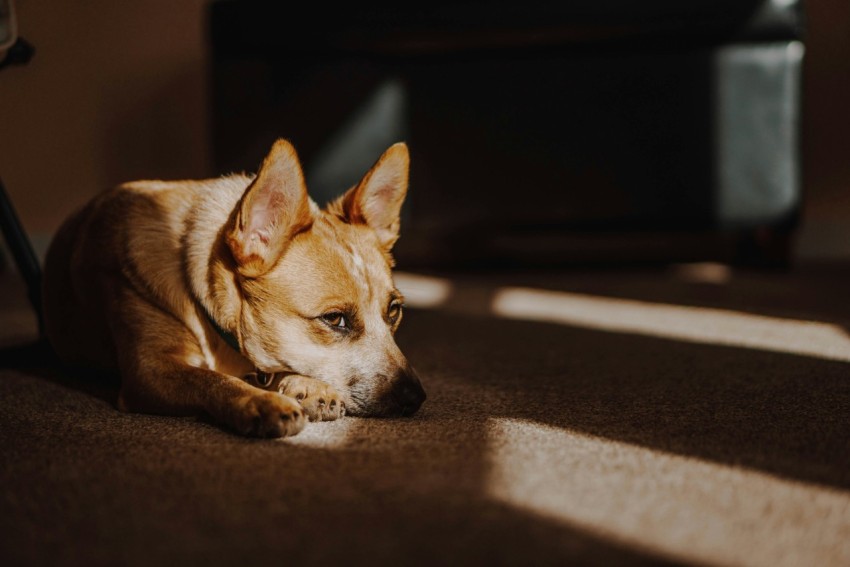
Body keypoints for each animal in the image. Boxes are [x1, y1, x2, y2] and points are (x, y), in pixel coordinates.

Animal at [39, 139, 424, 440]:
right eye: (334, 319)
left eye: (393, 311)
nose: (416, 397)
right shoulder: (149, 370)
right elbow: (210, 380)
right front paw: (260, 400)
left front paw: (306, 385)